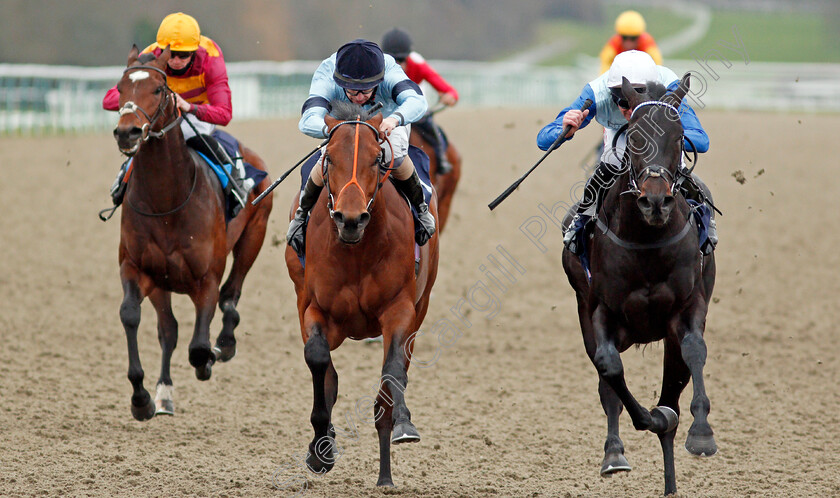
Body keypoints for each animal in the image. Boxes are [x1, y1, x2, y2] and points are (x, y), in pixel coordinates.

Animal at [111, 45, 272, 420]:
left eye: (158, 89)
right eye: (120, 89)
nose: (127, 133)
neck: (166, 201)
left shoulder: (205, 278)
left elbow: (199, 346)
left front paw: (211, 355)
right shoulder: (138, 269)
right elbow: (132, 316)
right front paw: (142, 398)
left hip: (253, 236)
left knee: (231, 294)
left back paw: (225, 344)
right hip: (162, 281)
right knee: (168, 329)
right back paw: (164, 394)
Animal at [284, 100, 440, 486]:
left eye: (376, 159)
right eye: (329, 159)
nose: (351, 219)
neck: (355, 251)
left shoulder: (400, 310)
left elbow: (393, 371)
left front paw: (402, 423)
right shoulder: (315, 309)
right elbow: (319, 362)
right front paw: (320, 448)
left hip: (422, 305)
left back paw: (386, 473)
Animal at [560, 73, 720, 494]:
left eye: (679, 136)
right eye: (634, 136)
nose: (656, 202)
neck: (647, 240)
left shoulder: (689, 305)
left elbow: (695, 351)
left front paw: (701, 433)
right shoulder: (600, 310)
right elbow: (610, 368)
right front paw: (647, 421)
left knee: (674, 386)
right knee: (608, 384)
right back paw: (616, 453)